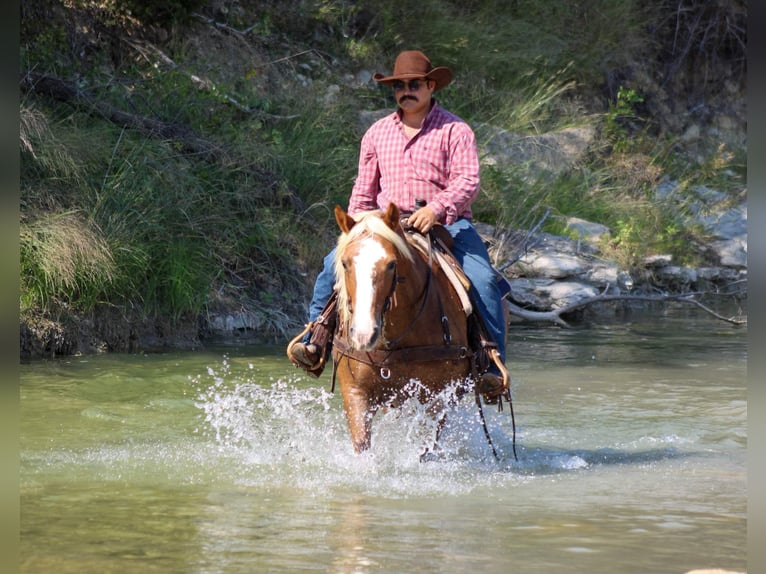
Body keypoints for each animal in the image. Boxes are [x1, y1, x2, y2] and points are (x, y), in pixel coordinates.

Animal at [328, 205, 512, 462]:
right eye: (345, 263)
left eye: (391, 264)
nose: (363, 334)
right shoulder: (355, 391)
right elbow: (362, 444)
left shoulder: (439, 395)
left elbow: (426, 443)